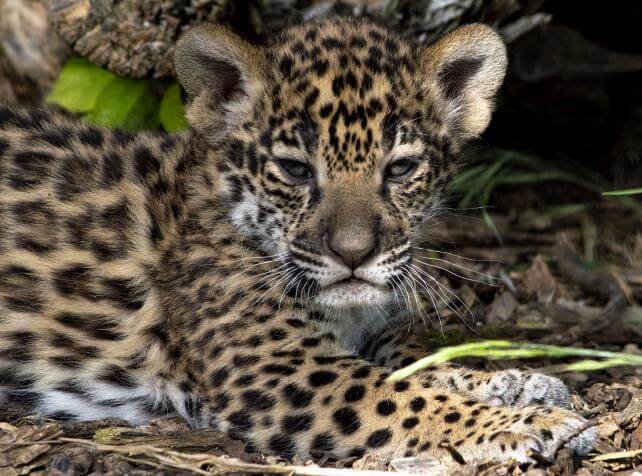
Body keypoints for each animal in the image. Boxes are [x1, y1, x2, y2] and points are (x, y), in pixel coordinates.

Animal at [0, 17, 596, 465]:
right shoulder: (276, 368)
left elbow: (420, 360)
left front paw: (515, 381)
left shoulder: (363, 336)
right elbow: (405, 397)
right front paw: (532, 421)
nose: (354, 254)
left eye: (400, 169)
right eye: (294, 170)